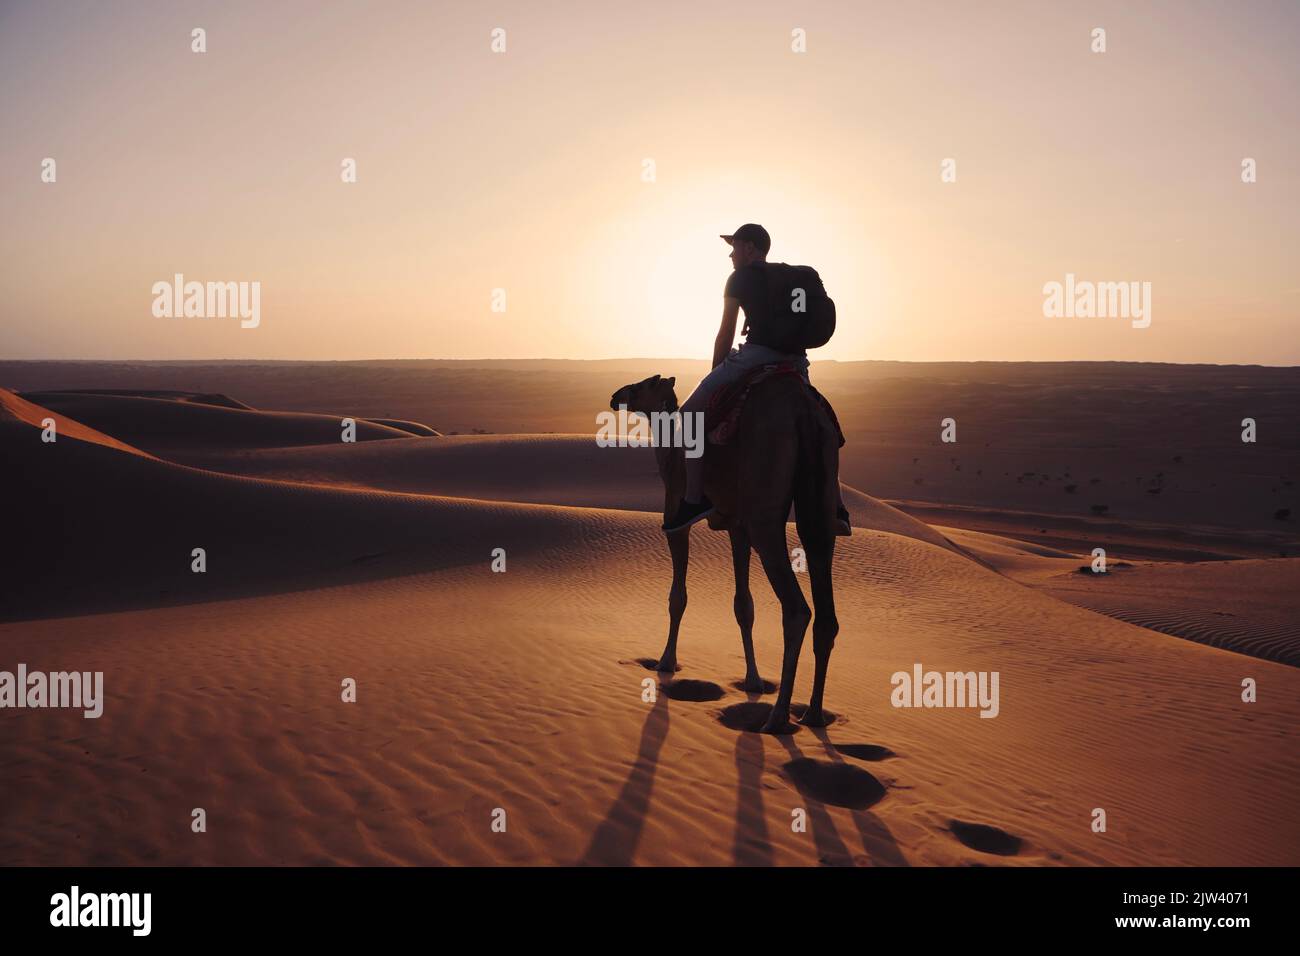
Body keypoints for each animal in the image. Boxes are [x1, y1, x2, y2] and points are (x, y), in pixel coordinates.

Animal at [611, 374, 842, 733]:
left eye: (639, 386)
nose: (615, 396)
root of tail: (804, 415)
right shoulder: (737, 528)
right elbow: (743, 605)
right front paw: (753, 680)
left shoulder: (675, 518)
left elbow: (678, 596)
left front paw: (666, 661)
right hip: (819, 506)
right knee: (825, 611)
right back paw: (813, 714)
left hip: (765, 516)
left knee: (797, 610)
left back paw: (777, 718)